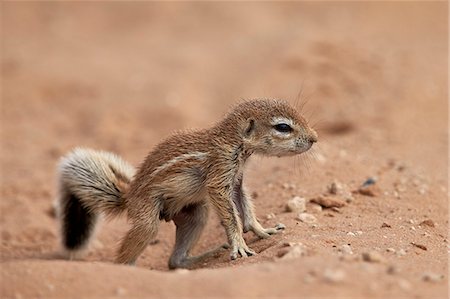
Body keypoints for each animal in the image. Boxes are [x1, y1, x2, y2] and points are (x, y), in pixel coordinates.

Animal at [56, 99, 318, 270]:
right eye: (283, 127)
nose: (315, 138)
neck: (233, 142)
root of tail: (129, 197)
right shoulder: (219, 174)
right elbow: (231, 216)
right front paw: (239, 245)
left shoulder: (236, 181)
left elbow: (245, 206)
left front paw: (263, 230)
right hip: (147, 219)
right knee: (133, 249)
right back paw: (125, 269)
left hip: (196, 214)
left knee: (175, 261)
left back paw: (202, 256)